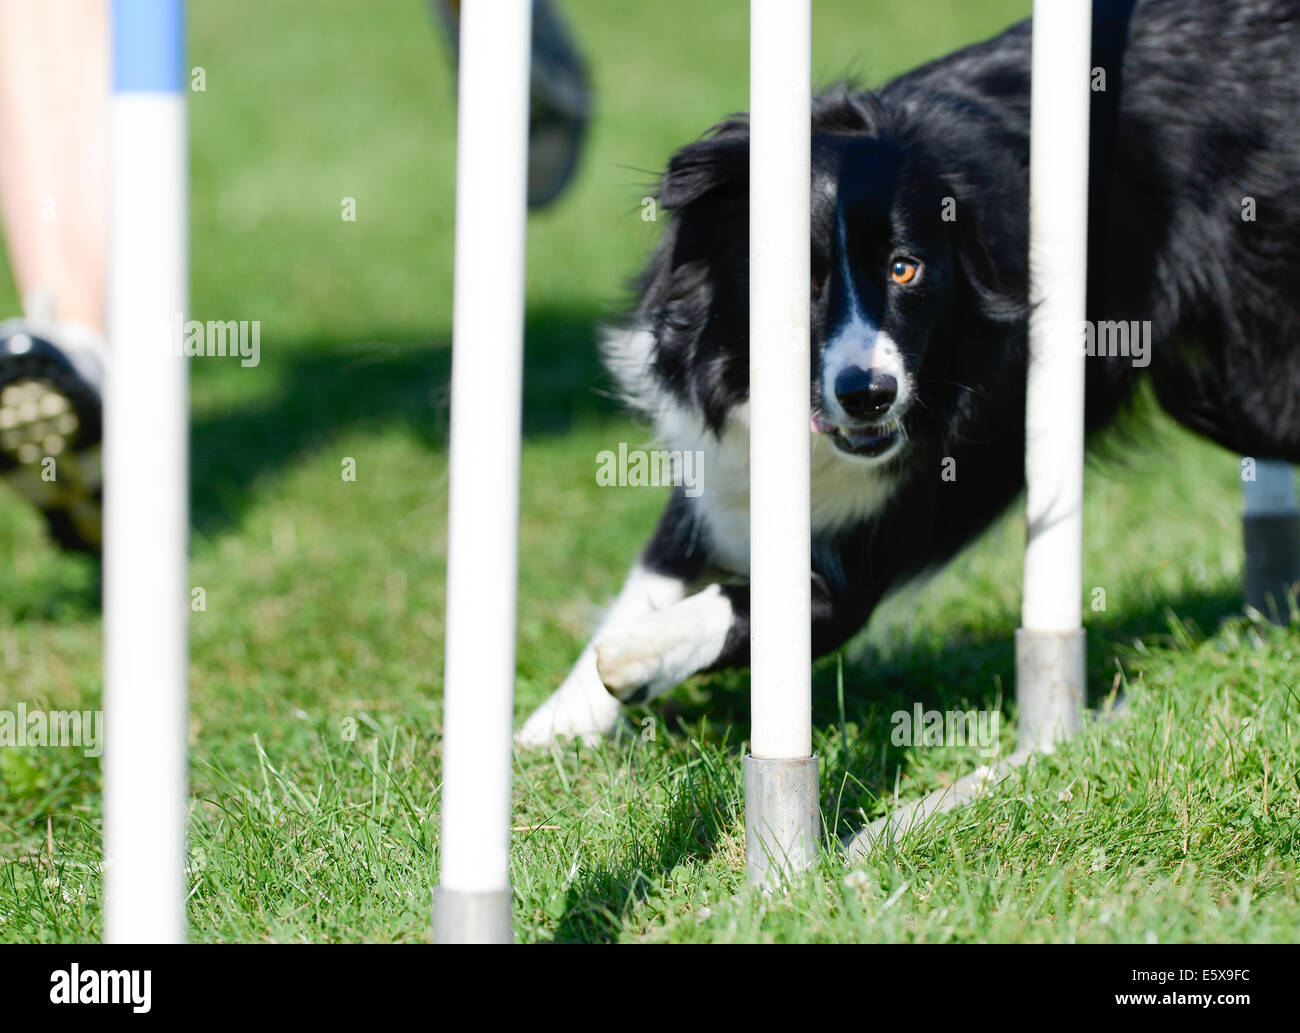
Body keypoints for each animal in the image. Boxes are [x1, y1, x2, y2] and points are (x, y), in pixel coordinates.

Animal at [517, 0, 1300, 748]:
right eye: (795, 280)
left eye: (904, 268)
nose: (870, 396)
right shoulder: (723, 473)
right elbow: (653, 574)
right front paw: (554, 725)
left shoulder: (858, 567)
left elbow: (739, 603)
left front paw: (634, 655)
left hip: (1244, 387)